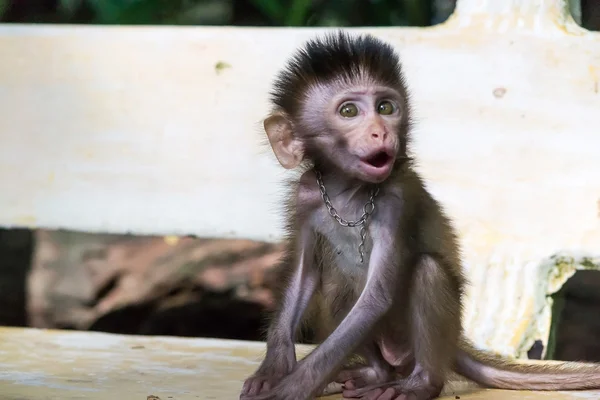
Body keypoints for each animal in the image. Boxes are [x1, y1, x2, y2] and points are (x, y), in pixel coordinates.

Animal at [239, 31, 600, 400]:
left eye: (385, 108)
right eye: (349, 111)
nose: (380, 132)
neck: (348, 192)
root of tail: (454, 345)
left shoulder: (396, 200)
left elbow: (376, 297)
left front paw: (292, 386)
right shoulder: (307, 194)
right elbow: (304, 276)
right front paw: (273, 369)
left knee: (427, 272)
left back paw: (420, 383)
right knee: (337, 286)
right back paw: (375, 373)